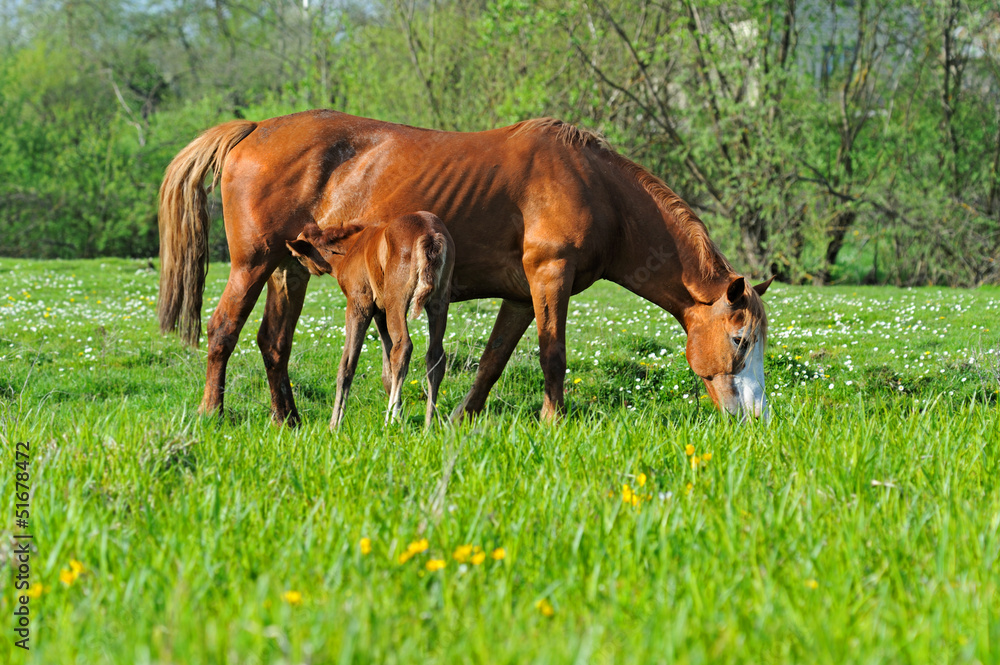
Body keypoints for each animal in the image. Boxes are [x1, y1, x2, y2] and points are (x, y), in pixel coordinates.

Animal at [285, 211, 454, 427]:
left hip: (396, 301)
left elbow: (347, 364)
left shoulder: (359, 303)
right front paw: (401, 417)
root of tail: (430, 234)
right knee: (435, 356)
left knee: (403, 347)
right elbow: (387, 366)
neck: (351, 248)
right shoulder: (380, 312)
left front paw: (334, 424)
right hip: (438, 303)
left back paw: (390, 420)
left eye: (297, 256)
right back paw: (428, 424)